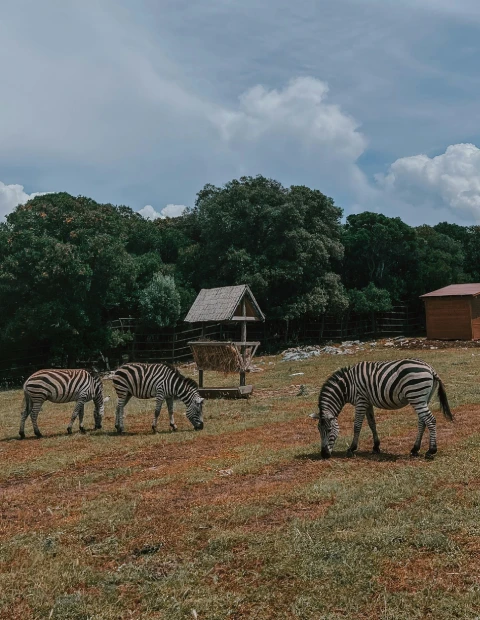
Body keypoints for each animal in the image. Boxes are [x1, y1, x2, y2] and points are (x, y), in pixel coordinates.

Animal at [312, 358, 454, 460]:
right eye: (318, 430)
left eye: (329, 430)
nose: (324, 455)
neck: (347, 386)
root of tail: (430, 369)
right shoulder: (367, 402)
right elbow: (372, 424)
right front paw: (376, 447)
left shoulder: (360, 400)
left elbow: (357, 425)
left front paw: (352, 449)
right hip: (423, 398)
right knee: (422, 421)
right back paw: (415, 449)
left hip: (416, 395)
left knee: (430, 420)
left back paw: (431, 451)